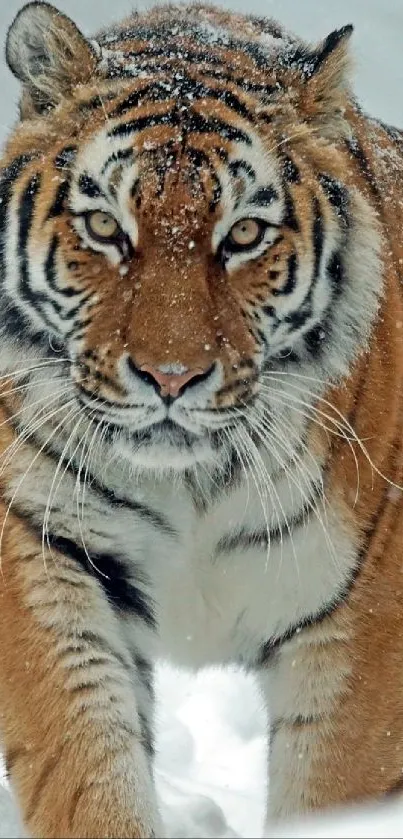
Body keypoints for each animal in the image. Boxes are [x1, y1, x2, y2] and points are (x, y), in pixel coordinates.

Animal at [2, 0, 403, 836]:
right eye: (105, 227)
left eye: (243, 235)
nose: (170, 377)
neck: (189, 483)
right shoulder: (43, 549)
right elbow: (84, 766)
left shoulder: (365, 620)